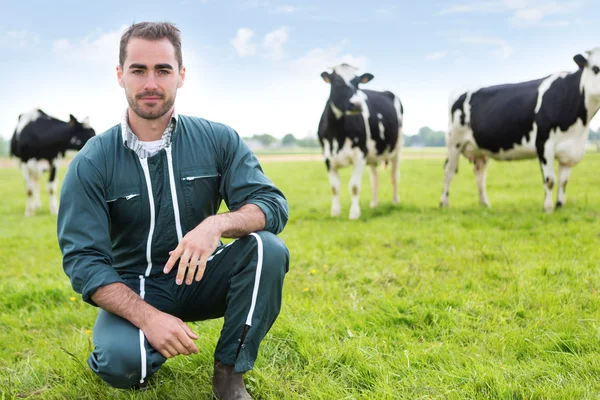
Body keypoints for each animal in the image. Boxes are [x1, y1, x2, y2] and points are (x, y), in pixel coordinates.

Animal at [318, 63, 404, 219]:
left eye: (357, 83)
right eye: (337, 82)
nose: (357, 104)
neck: (338, 133)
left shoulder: (360, 155)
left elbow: (354, 186)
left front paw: (354, 213)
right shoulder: (327, 158)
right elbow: (334, 187)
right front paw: (335, 212)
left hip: (397, 149)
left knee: (394, 176)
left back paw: (395, 201)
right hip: (373, 154)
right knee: (374, 179)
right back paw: (374, 203)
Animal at [440, 47, 600, 212]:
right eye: (596, 69)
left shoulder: (570, 151)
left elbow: (563, 182)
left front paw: (560, 206)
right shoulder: (544, 144)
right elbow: (550, 180)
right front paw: (548, 208)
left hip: (480, 149)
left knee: (480, 173)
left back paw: (485, 204)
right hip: (454, 142)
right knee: (449, 170)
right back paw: (444, 203)